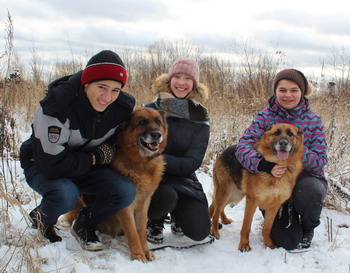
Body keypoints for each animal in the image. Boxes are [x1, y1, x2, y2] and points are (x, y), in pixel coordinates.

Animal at [67, 107, 170, 262]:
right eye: (142, 122)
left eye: (158, 121)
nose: (157, 135)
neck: (141, 163)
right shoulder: (126, 208)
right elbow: (133, 233)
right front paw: (138, 256)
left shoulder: (144, 204)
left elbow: (141, 232)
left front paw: (146, 251)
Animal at [208, 123, 304, 251]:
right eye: (276, 133)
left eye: (290, 134)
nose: (283, 143)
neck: (278, 167)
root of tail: (224, 151)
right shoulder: (252, 201)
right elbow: (246, 226)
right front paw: (244, 244)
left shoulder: (274, 206)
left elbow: (267, 228)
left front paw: (268, 244)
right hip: (225, 191)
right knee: (216, 211)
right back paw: (214, 231)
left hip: (235, 195)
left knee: (219, 207)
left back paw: (224, 219)